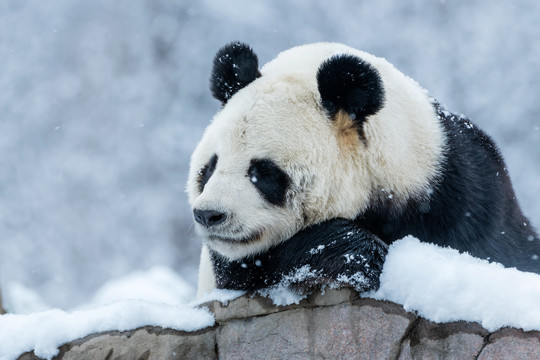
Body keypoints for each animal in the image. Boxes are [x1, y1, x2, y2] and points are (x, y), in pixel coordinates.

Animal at [187, 40, 540, 296]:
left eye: (262, 172)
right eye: (209, 168)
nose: (209, 214)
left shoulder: (464, 193)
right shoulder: (233, 264)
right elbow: (255, 266)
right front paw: (367, 257)